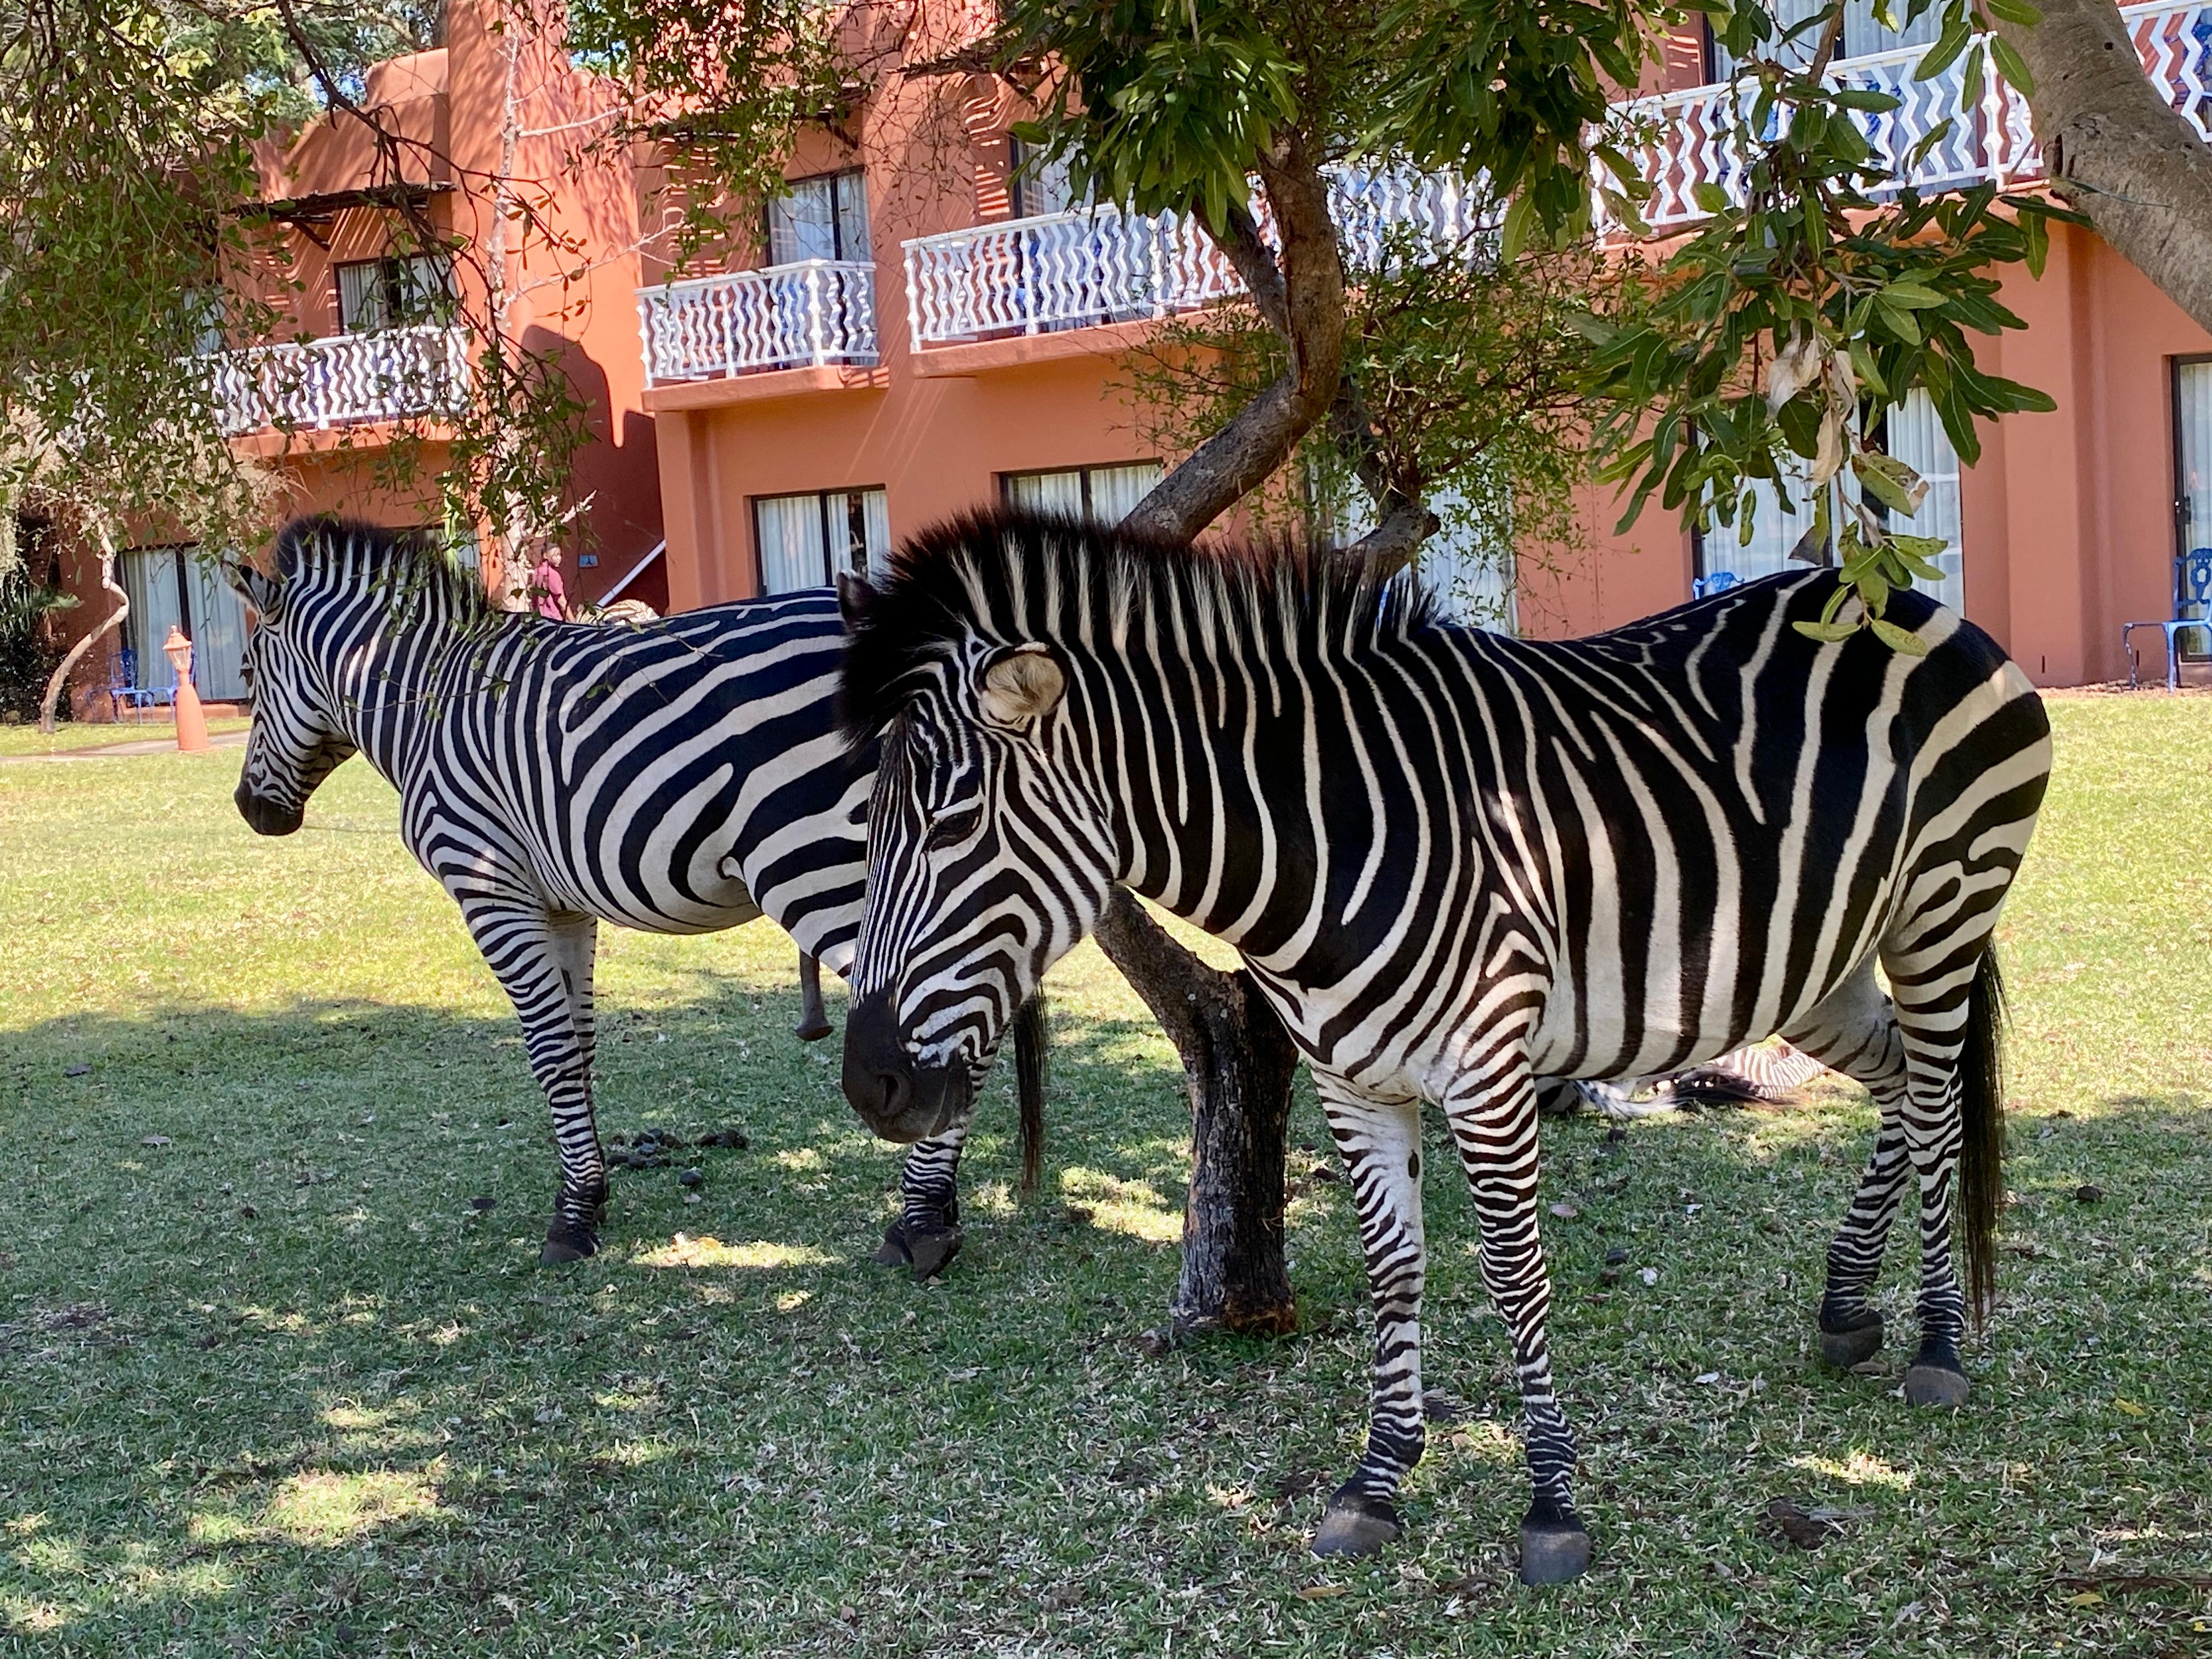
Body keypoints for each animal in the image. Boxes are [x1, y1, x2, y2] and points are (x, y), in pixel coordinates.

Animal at [229, 520, 1040, 1274]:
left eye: (248, 672)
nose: (249, 811)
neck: (429, 706)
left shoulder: (489, 886)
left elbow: (550, 1052)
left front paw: (570, 1220)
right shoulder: (562, 903)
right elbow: (580, 1046)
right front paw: (591, 1192)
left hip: (828, 867)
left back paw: (919, 1224)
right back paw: (935, 1211)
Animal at [832, 513, 2052, 1593]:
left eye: (953, 827)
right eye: (871, 827)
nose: (870, 1084)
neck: (1326, 844)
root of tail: (1909, 596)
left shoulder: (1489, 1072)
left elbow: (1514, 1273)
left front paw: (1552, 1504)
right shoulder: (1350, 1082)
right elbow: (1395, 1268)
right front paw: (1377, 1480)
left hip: (1941, 913)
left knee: (1938, 1105)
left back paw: (1939, 1345)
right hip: (1810, 961)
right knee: (1900, 1087)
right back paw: (1847, 1306)